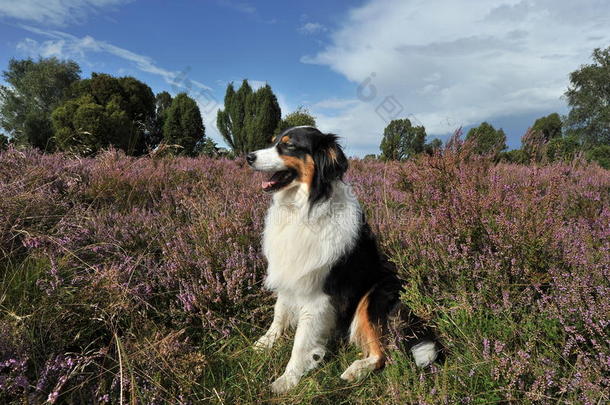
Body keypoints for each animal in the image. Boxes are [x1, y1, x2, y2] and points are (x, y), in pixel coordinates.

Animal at [245, 125, 440, 392]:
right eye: (273, 141)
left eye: (289, 145)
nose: (248, 157)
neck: (302, 208)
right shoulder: (290, 275)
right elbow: (279, 313)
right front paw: (265, 343)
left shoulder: (317, 297)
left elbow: (300, 342)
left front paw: (288, 379)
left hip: (372, 299)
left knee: (384, 354)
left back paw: (355, 370)